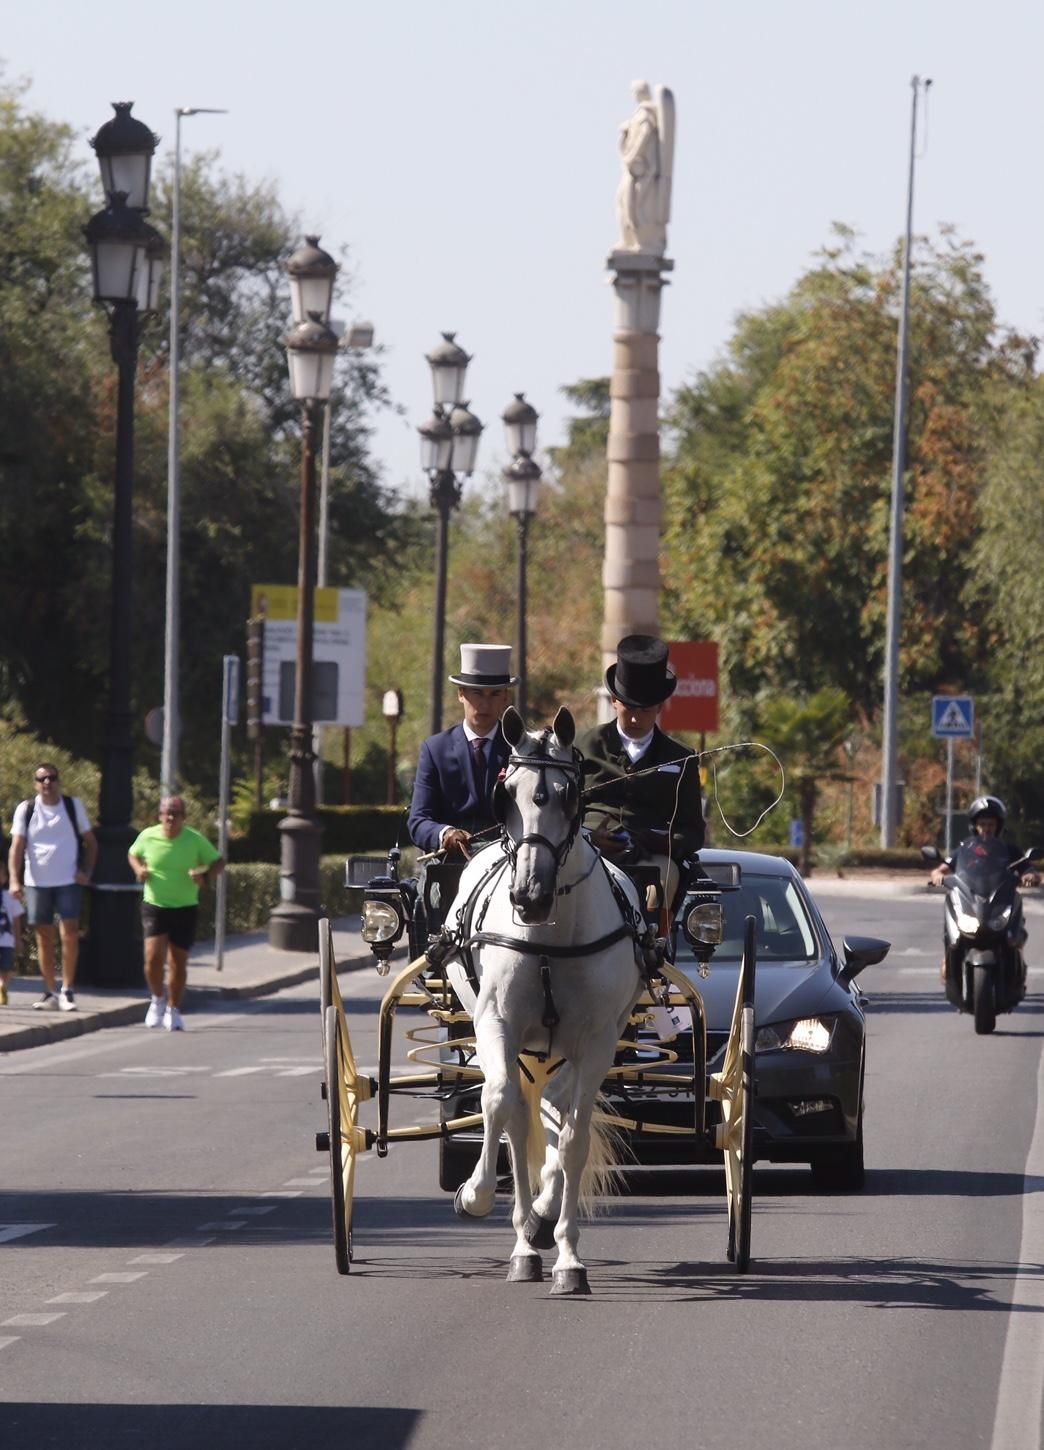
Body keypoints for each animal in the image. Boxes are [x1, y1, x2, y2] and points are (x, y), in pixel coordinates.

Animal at [443, 707, 643, 1299]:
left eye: (568, 795)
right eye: (505, 794)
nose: (529, 896)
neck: (550, 937)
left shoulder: (597, 1041)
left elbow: (573, 1140)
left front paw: (568, 1257)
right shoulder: (496, 1024)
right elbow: (499, 1103)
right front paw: (478, 1197)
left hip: (569, 1047)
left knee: (553, 1111)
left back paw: (542, 1218)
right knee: (516, 1107)